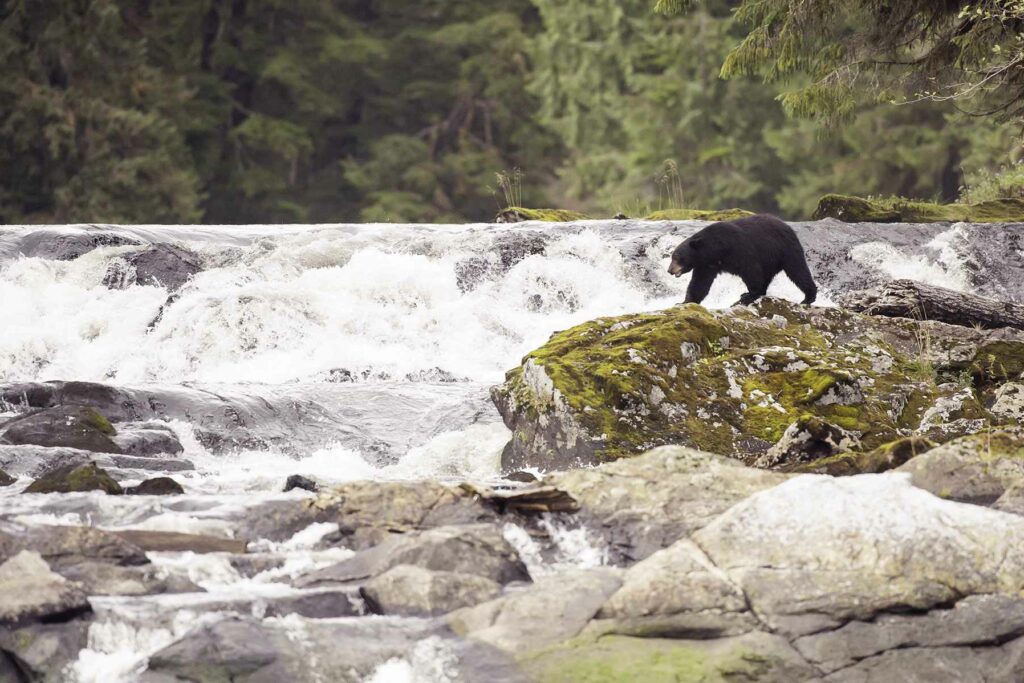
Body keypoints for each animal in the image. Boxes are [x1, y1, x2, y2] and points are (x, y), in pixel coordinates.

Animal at [667, 215, 819, 305]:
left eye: (677, 257)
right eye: (672, 257)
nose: (669, 270)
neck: (716, 249)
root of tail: (789, 227)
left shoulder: (738, 249)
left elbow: (751, 270)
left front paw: (749, 295)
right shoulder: (706, 265)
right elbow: (699, 284)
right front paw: (684, 302)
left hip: (785, 250)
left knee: (798, 271)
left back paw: (808, 297)